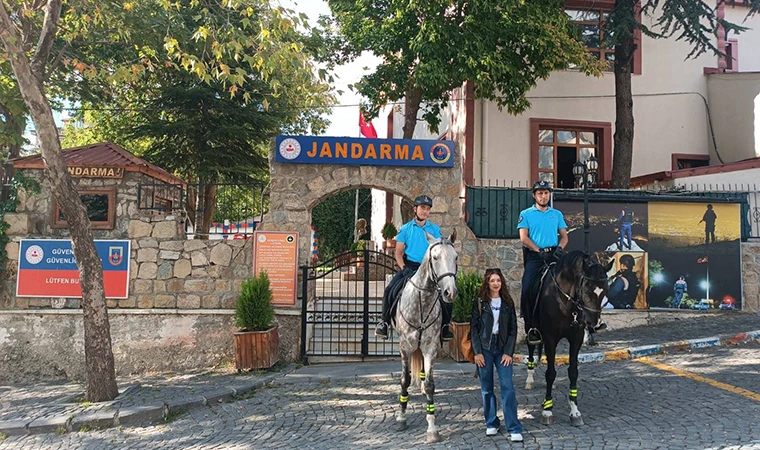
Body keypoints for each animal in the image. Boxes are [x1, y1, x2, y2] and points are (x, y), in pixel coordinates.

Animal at [392, 229, 458, 442]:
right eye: (435, 257)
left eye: (456, 257)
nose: (450, 292)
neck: (423, 300)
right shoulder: (405, 346)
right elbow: (404, 380)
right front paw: (401, 417)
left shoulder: (430, 347)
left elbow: (430, 384)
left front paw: (432, 428)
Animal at [524, 253, 612, 426]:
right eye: (587, 289)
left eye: (605, 289)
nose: (595, 324)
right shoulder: (550, 338)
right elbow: (550, 373)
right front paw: (547, 410)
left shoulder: (576, 338)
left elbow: (573, 371)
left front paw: (574, 411)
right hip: (529, 327)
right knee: (531, 350)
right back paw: (529, 380)